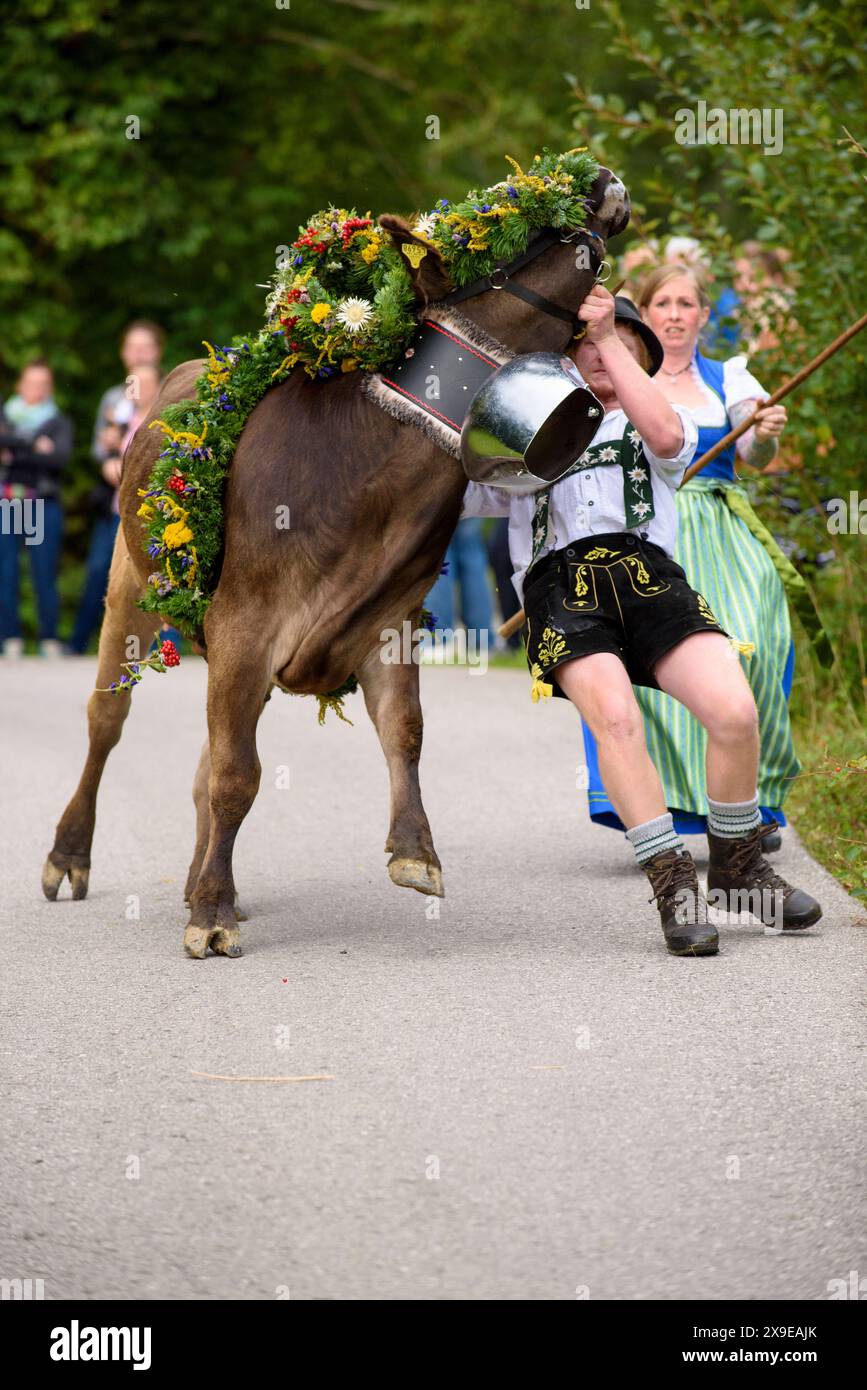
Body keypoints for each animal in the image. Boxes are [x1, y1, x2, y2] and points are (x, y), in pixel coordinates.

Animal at [41, 169, 630, 957]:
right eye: (503, 226)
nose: (595, 177)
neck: (369, 487)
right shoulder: (245, 623)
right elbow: (238, 776)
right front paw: (212, 917)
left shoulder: (388, 621)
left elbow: (402, 733)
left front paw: (415, 852)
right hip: (130, 587)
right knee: (107, 720)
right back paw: (70, 857)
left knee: (201, 760)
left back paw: (199, 878)